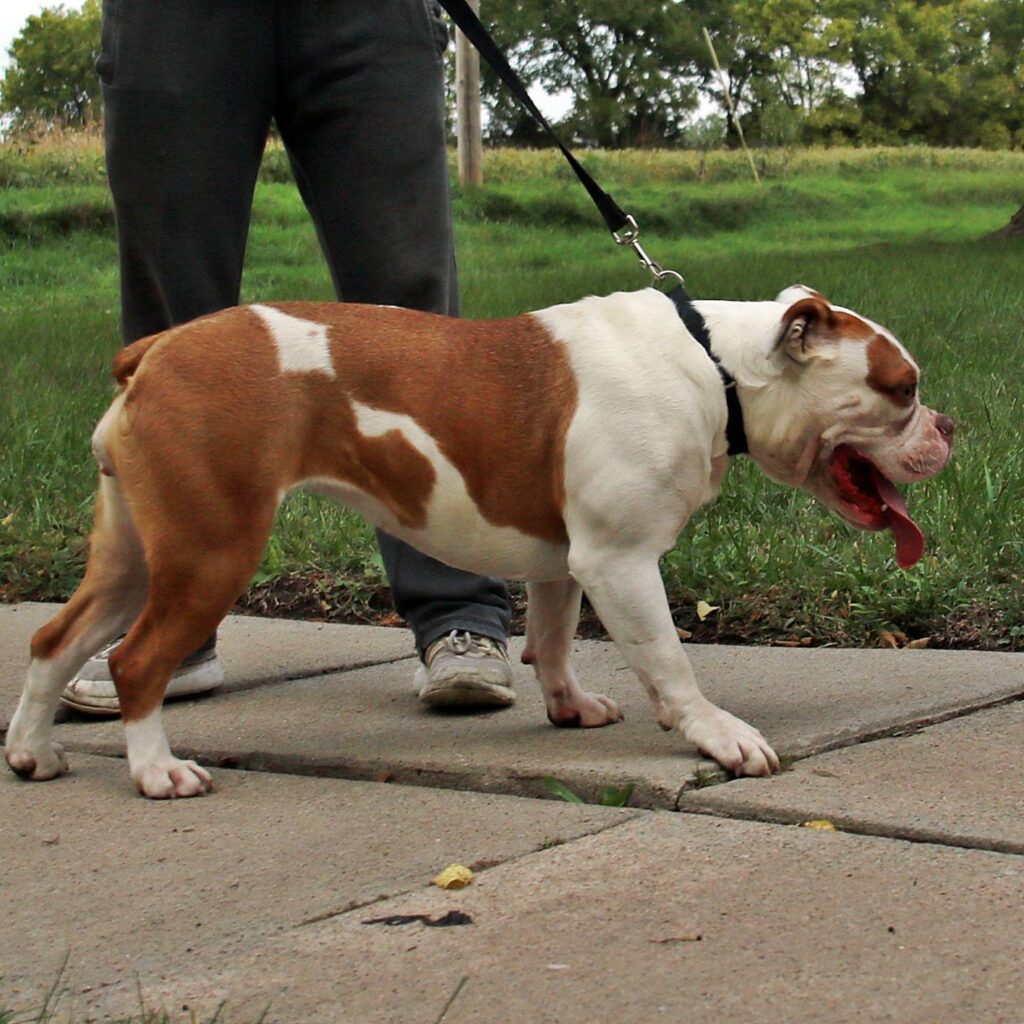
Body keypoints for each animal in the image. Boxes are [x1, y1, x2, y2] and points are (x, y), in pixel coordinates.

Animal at [6, 284, 950, 794]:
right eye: (902, 389)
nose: (948, 425)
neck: (717, 366)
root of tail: (158, 350)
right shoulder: (622, 562)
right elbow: (671, 664)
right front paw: (719, 736)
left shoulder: (569, 560)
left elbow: (555, 638)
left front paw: (570, 708)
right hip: (210, 547)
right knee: (137, 661)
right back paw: (157, 773)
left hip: (134, 554)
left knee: (57, 640)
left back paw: (32, 753)